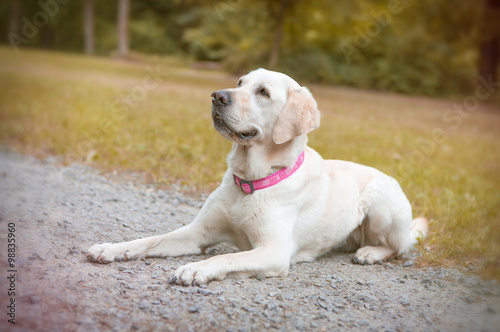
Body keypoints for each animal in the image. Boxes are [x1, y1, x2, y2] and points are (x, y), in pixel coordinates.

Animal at [87, 68, 430, 286]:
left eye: (263, 92)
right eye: (240, 81)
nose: (217, 96)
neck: (250, 181)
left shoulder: (273, 252)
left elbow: (226, 259)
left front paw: (196, 269)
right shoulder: (197, 233)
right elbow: (149, 240)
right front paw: (111, 248)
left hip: (381, 206)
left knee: (399, 247)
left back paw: (370, 252)